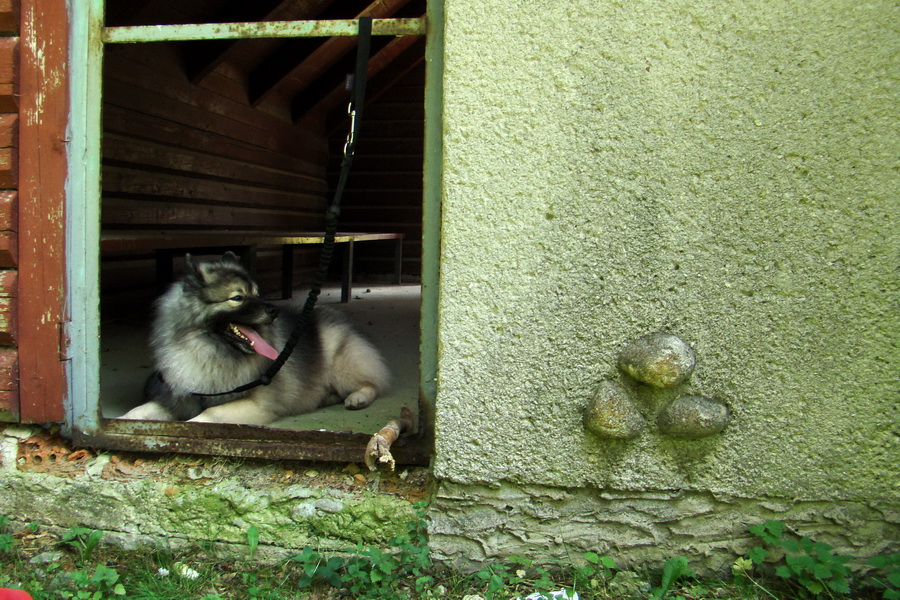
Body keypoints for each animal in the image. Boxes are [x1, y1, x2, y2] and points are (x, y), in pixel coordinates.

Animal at [118, 251, 386, 424]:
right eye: (237, 298)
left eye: (257, 293)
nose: (274, 310)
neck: (207, 349)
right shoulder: (179, 396)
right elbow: (138, 411)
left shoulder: (253, 404)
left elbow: (206, 416)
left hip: (342, 364)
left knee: (372, 383)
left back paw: (358, 397)